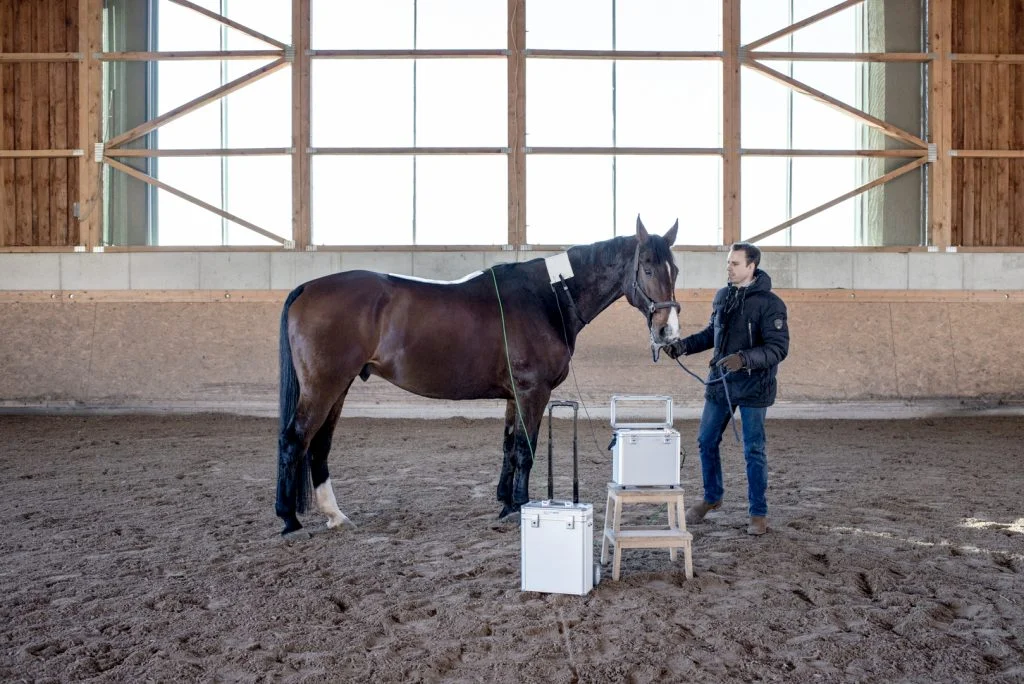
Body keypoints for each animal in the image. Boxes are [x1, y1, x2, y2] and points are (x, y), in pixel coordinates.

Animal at [275, 216, 681, 536]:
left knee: (319, 445)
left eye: (674, 270)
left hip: (339, 386)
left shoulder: (514, 395)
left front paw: (506, 502)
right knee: (295, 440)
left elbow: (509, 447)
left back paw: (335, 515)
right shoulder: (533, 391)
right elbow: (525, 450)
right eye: (647, 267)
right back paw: (289, 520)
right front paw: (519, 506)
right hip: (323, 386)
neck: (547, 296)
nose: (667, 331)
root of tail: (307, 288)